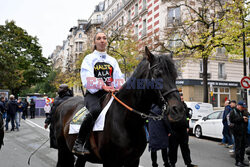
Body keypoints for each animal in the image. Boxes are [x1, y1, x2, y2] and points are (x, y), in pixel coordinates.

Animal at [53, 47, 185, 167]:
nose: (178, 110)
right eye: (157, 74)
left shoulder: (133, 161)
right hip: (63, 150)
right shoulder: (110, 162)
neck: (127, 122)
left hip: (81, 157)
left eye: (175, 75)